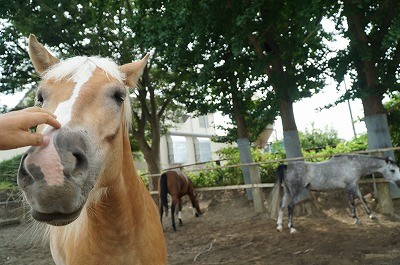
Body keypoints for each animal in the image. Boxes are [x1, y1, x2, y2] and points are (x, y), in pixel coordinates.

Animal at [268, 154, 400, 232]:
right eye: (392, 170)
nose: (399, 183)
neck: (353, 165)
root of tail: (287, 166)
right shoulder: (350, 186)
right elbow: (352, 202)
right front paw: (356, 219)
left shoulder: (355, 185)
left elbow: (362, 199)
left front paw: (372, 216)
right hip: (296, 192)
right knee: (290, 207)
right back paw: (291, 228)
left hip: (287, 192)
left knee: (282, 207)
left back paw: (279, 226)